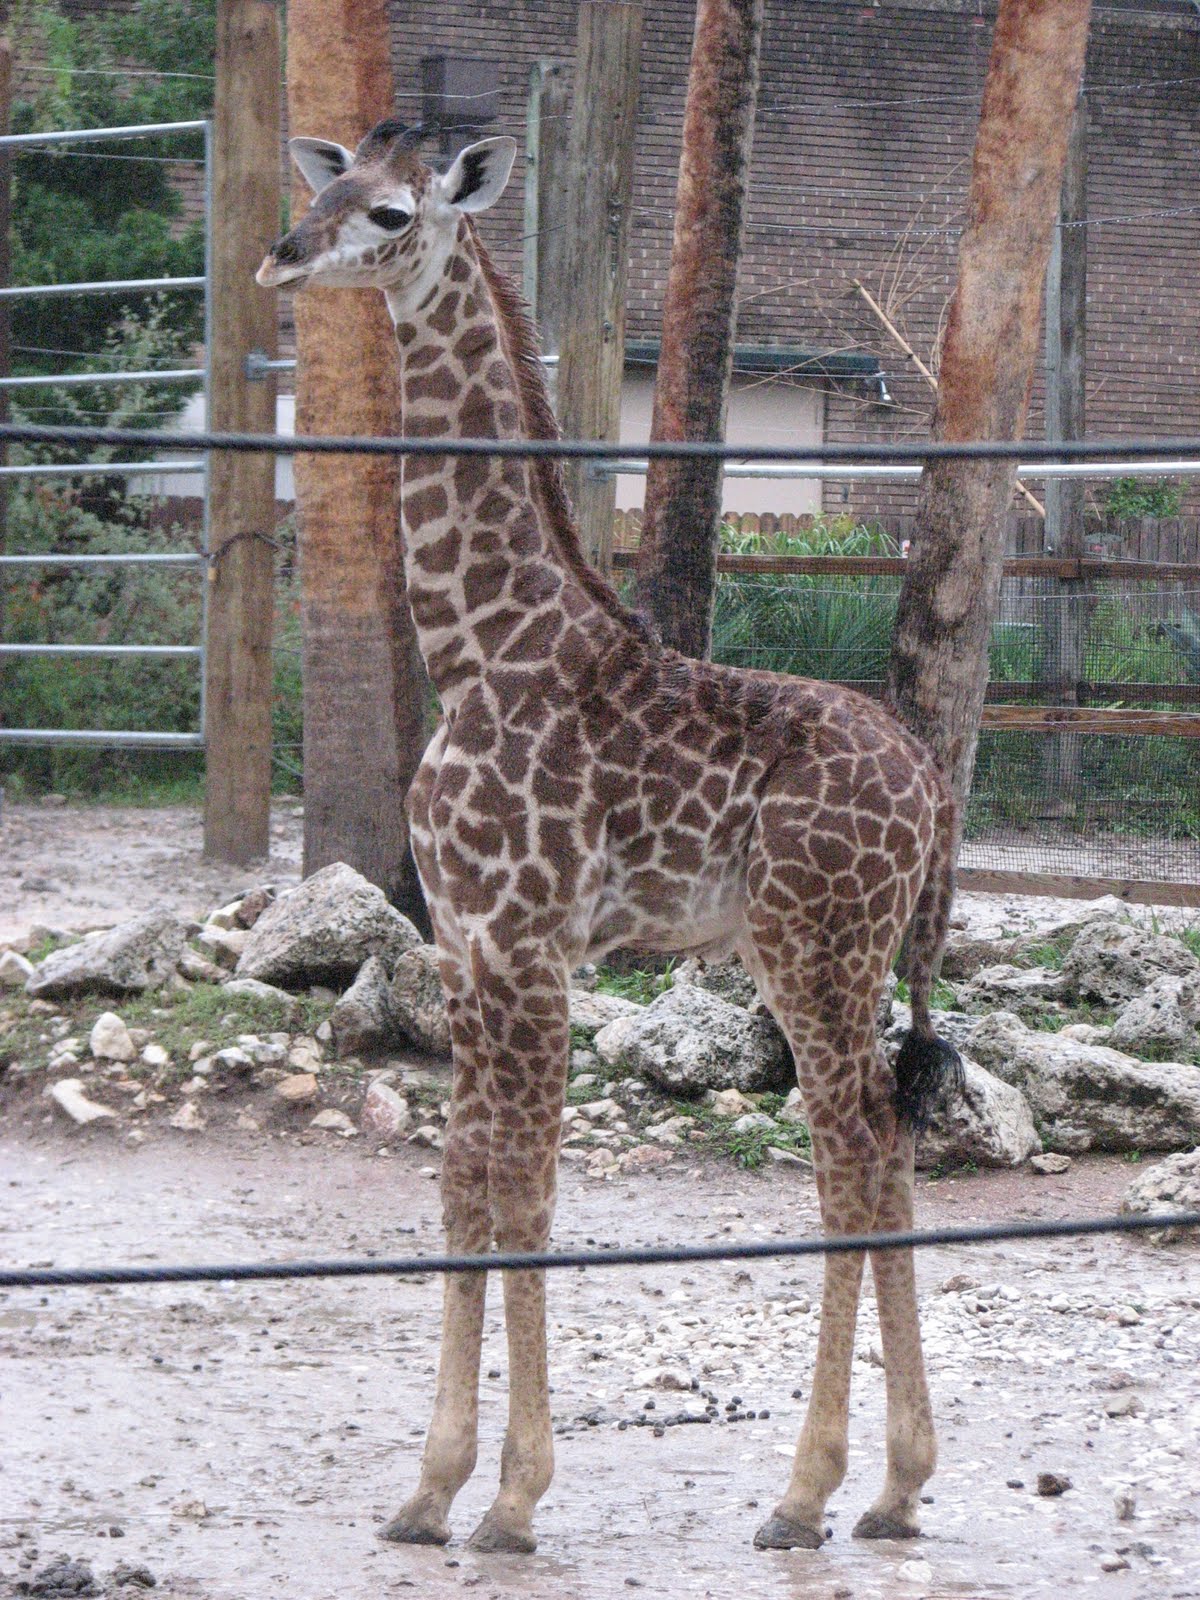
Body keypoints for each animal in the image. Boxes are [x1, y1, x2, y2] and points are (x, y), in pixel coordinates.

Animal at [258, 119, 962, 1557]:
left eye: (393, 213)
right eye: (329, 183)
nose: (286, 253)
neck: (480, 649)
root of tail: (930, 781)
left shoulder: (532, 946)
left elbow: (528, 1191)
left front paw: (513, 1499)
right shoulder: (467, 943)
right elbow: (465, 1181)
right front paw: (429, 1490)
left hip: (812, 945)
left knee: (851, 1159)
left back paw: (806, 1494)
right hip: (837, 953)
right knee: (887, 1149)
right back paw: (889, 1489)